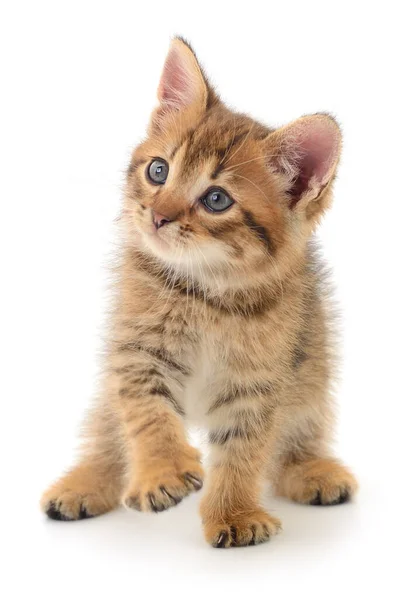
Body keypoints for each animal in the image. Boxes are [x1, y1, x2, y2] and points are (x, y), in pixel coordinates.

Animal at [39, 37, 356, 548]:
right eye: (158, 170)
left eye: (216, 199)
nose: (158, 216)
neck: (207, 292)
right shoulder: (136, 352)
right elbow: (146, 414)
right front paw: (161, 472)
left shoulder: (258, 382)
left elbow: (244, 450)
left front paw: (234, 514)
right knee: (107, 428)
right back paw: (86, 482)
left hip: (313, 368)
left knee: (302, 428)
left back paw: (311, 469)